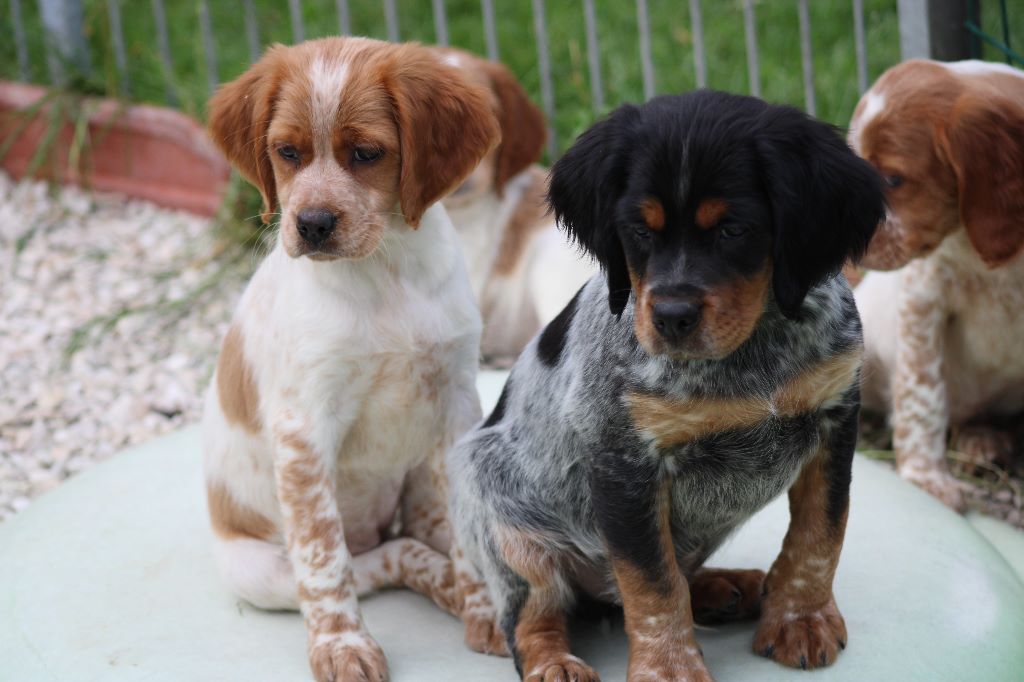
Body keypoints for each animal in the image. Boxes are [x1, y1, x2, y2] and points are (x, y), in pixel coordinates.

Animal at [203, 37, 500, 682]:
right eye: (286, 152)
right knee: (378, 558)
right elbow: (324, 558)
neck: (383, 270)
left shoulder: (456, 401)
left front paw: (489, 610)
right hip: (256, 571)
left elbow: (469, 530)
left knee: (420, 531)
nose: (311, 224)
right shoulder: (305, 430)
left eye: (366, 153)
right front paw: (343, 647)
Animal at [447, 90, 884, 681]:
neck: (750, 350)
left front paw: (800, 617)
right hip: (505, 526)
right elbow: (652, 584)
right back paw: (555, 663)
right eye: (639, 231)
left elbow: (820, 532)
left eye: (733, 230)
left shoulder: (836, 417)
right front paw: (669, 668)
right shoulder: (625, 464)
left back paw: (729, 587)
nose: (672, 317)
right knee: (532, 617)